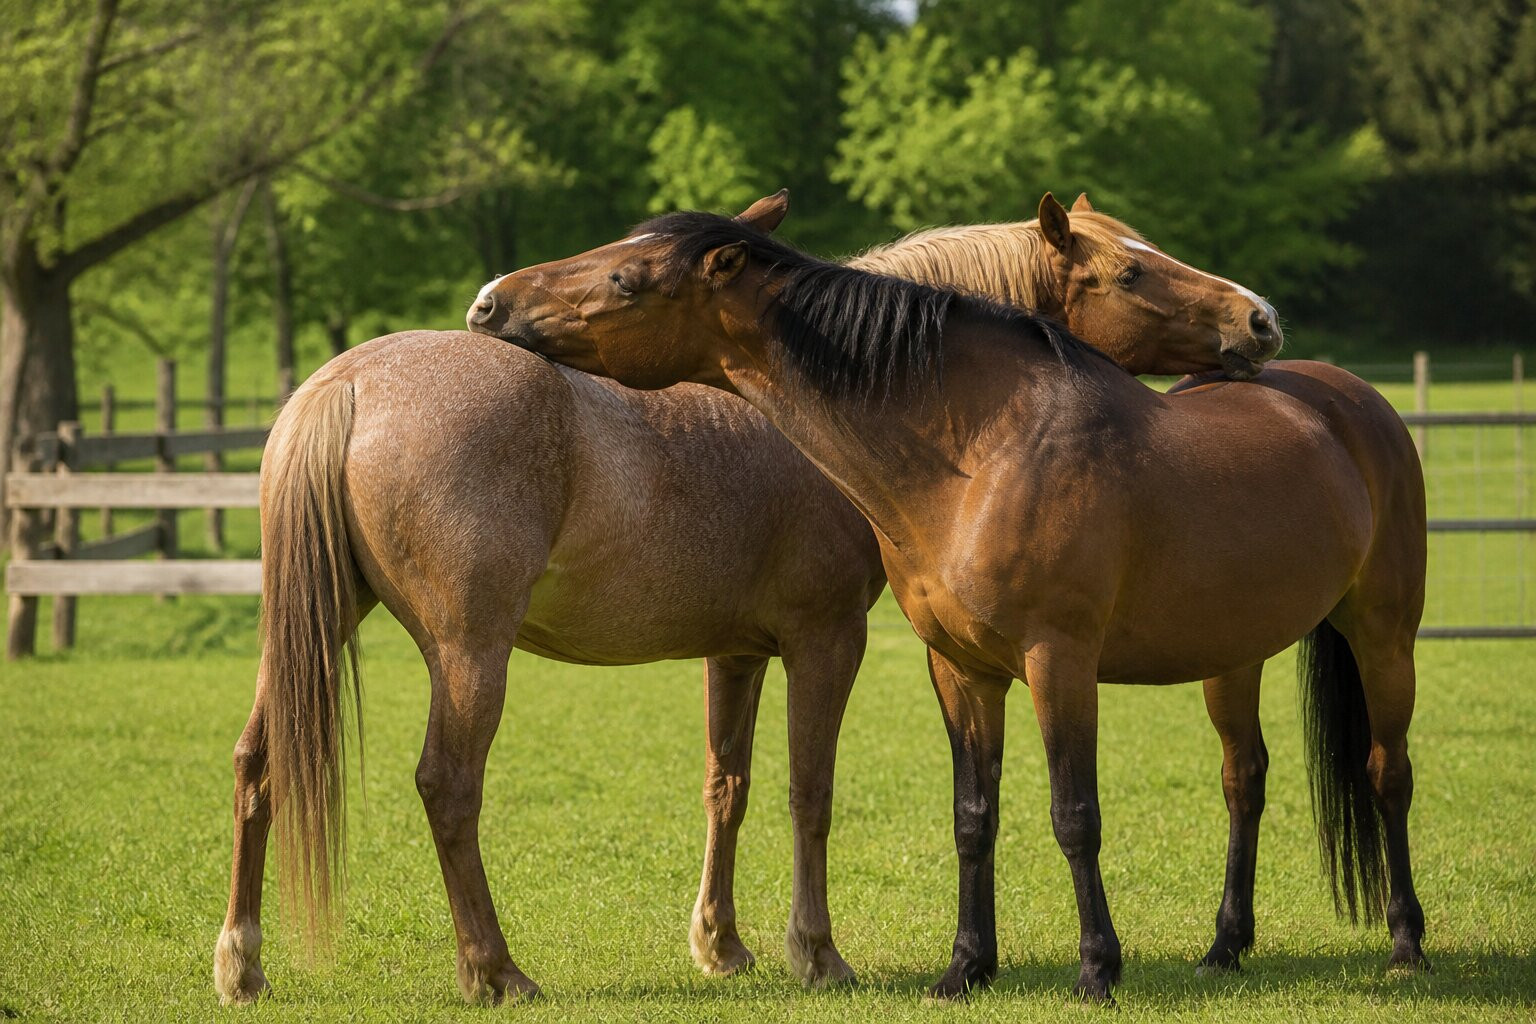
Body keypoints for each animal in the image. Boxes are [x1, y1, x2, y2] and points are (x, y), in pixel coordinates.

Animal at [213, 192, 1281, 1006]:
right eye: (1133, 273)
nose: (1259, 319)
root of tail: (348, 383)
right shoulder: (825, 639)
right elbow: (812, 789)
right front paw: (818, 952)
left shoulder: (734, 652)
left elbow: (727, 786)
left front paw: (722, 947)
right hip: (470, 653)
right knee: (448, 786)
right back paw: (495, 971)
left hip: (311, 630)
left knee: (259, 762)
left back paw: (243, 965)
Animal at [469, 197, 1428, 1004]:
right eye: (1130, 270)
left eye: (625, 279)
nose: (488, 305)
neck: (986, 453)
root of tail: (1348, 395)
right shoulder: (961, 668)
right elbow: (973, 816)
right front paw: (966, 968)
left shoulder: (1058, 663)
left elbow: (1073, 815)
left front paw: (1096, 970)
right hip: (1233, 655)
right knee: (1244, 779)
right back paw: (1225, 947)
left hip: (1383, 638)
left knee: (1387, 772)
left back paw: (1405, 945)